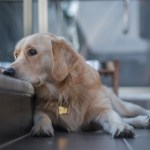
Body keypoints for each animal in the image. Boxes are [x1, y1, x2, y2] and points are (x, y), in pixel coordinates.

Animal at [5, 33, 150, 138]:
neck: (63, 91)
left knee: (128, 113)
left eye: (32, 52)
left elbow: (114, 117)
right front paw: (42, 127)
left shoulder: (102, 110)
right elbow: (41, 116)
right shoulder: (40, 109)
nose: (7, 71)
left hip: (124, 107)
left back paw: (143, 119)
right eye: (16, 55)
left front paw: (121, 127)